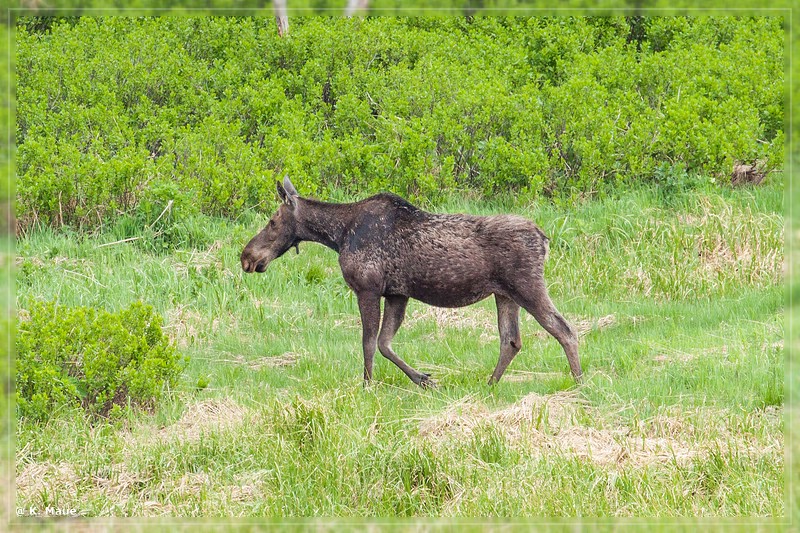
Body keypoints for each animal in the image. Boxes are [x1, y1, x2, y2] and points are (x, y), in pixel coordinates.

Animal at [239, 177, 580, 384]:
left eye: (272, 221)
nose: (247, 256)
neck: (337, 236)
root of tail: (545, 239)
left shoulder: (368, 288)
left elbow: (368, 343)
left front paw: (367, 385)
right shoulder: (397, 293)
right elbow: (385, 343)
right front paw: (423, 379)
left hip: (527, 286)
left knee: (564, 329)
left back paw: (578, 383)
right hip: (504, 293)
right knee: (511, 340)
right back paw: (490, 384)